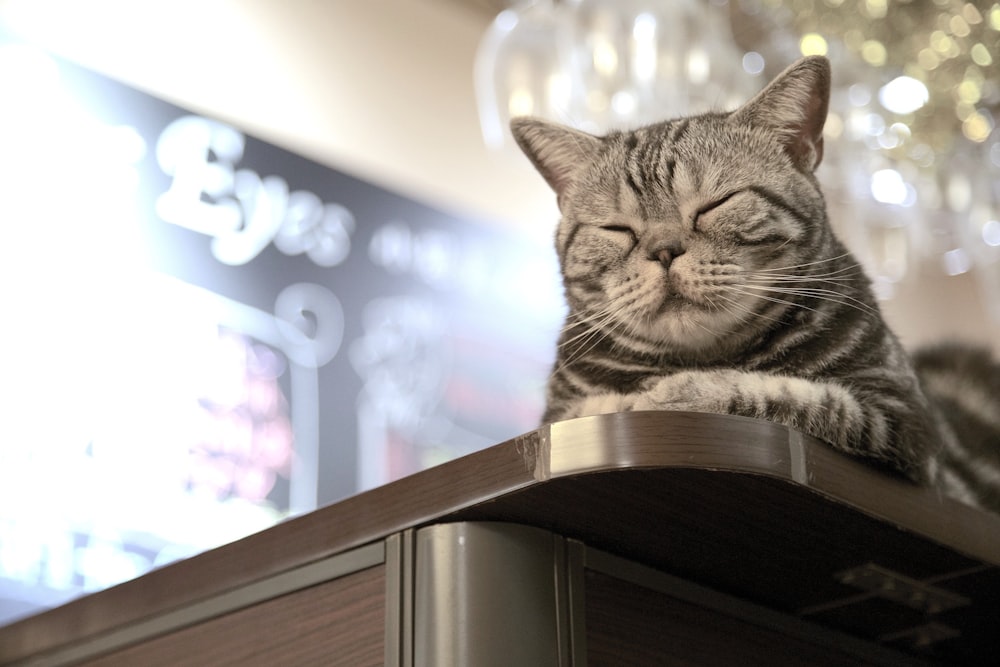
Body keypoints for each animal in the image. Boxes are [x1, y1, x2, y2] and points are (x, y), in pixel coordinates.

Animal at [512, 57, 996, 516]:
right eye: (617, 229)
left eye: (716, 204)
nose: (664, 250)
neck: (707, 355)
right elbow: (567, 414)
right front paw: (609, 403)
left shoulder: (904, 429)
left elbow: (792, 398)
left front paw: (669, 394)